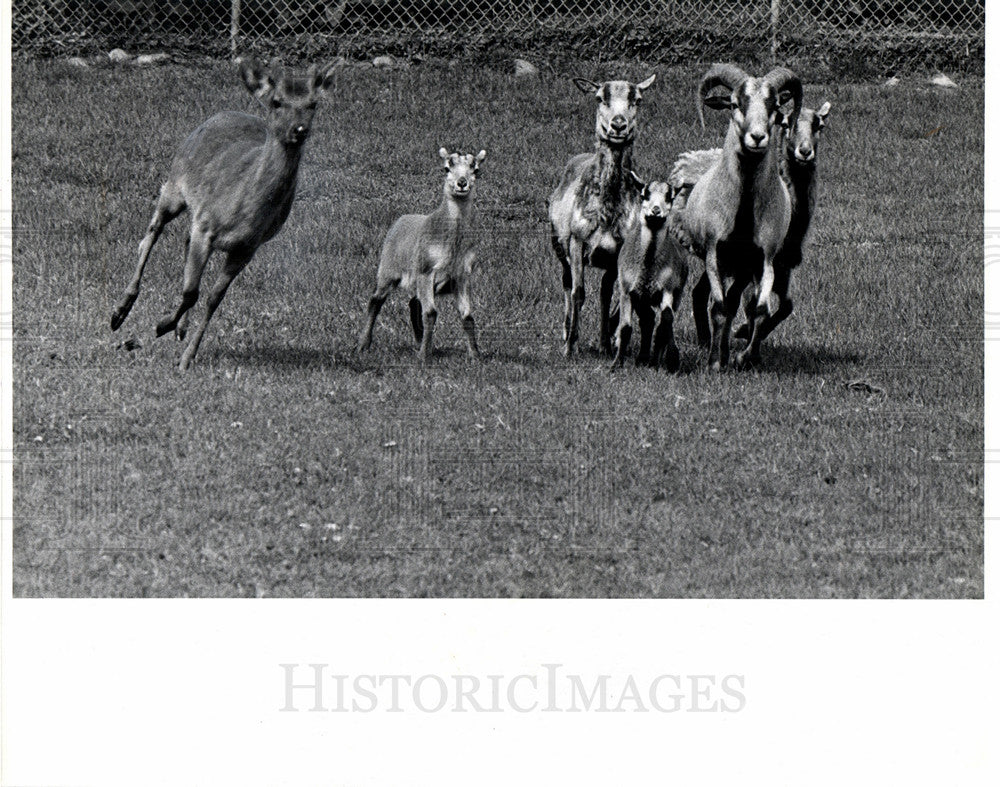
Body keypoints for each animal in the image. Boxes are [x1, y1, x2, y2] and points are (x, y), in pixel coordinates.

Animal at [108, 58, 336, 372]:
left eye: (313, 103)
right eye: (277, 102)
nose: (299, 129)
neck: (245, 209)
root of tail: (219, 114)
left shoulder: (246, 248)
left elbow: (213, 298)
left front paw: (186, 355)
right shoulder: (207, 227)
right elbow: (191, 292)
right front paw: (161, 325)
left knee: (182, 240)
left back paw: (180, 329)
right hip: (175, 185)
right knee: (151, 233)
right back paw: (120, 311)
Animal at [356, 148, 488, 364]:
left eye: (475, 169)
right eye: (446, 167)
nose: (462, 183)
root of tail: (401, 219)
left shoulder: (462, 275)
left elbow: (467, 316)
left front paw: (475, 355)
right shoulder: (426, 270)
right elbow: (431, 313)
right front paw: (423, 358)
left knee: (413, 303)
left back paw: (420, 342)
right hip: (388, 271)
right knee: (375, 300)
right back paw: (362, 345)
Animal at [548, 74, 656, 358]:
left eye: (636, 99)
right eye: (599, 98)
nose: (618, 125)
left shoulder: (617, 250)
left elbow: (606, 293)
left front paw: (605, 343)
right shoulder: (577, 240)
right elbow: (578, 292)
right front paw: (570, 346)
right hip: (557, 242)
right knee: (566, 282)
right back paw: (565, 331)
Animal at [612, 182, 692, 372]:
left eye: (669, 197)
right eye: (645, 194)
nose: (656, 211)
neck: (647, 267)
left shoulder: (667, 290)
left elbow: (665, 322)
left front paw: (657, 363)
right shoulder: (627, 291)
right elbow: (625, 328)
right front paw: (616, 365)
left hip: (674, 295)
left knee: (661, 321)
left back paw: (658, 359)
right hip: (640, 297)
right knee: (647, 319)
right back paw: (642, 358)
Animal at [672, 63, 804, 370]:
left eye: (775, 105)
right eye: (734, 104)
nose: (757, 137)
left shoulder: (763, 260)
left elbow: (760, 310)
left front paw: (746, 357)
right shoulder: (714, 254)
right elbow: (719, 308)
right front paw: (714, 363)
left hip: (743, 269)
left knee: (734, 303)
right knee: (712, 300)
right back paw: (712, 346)